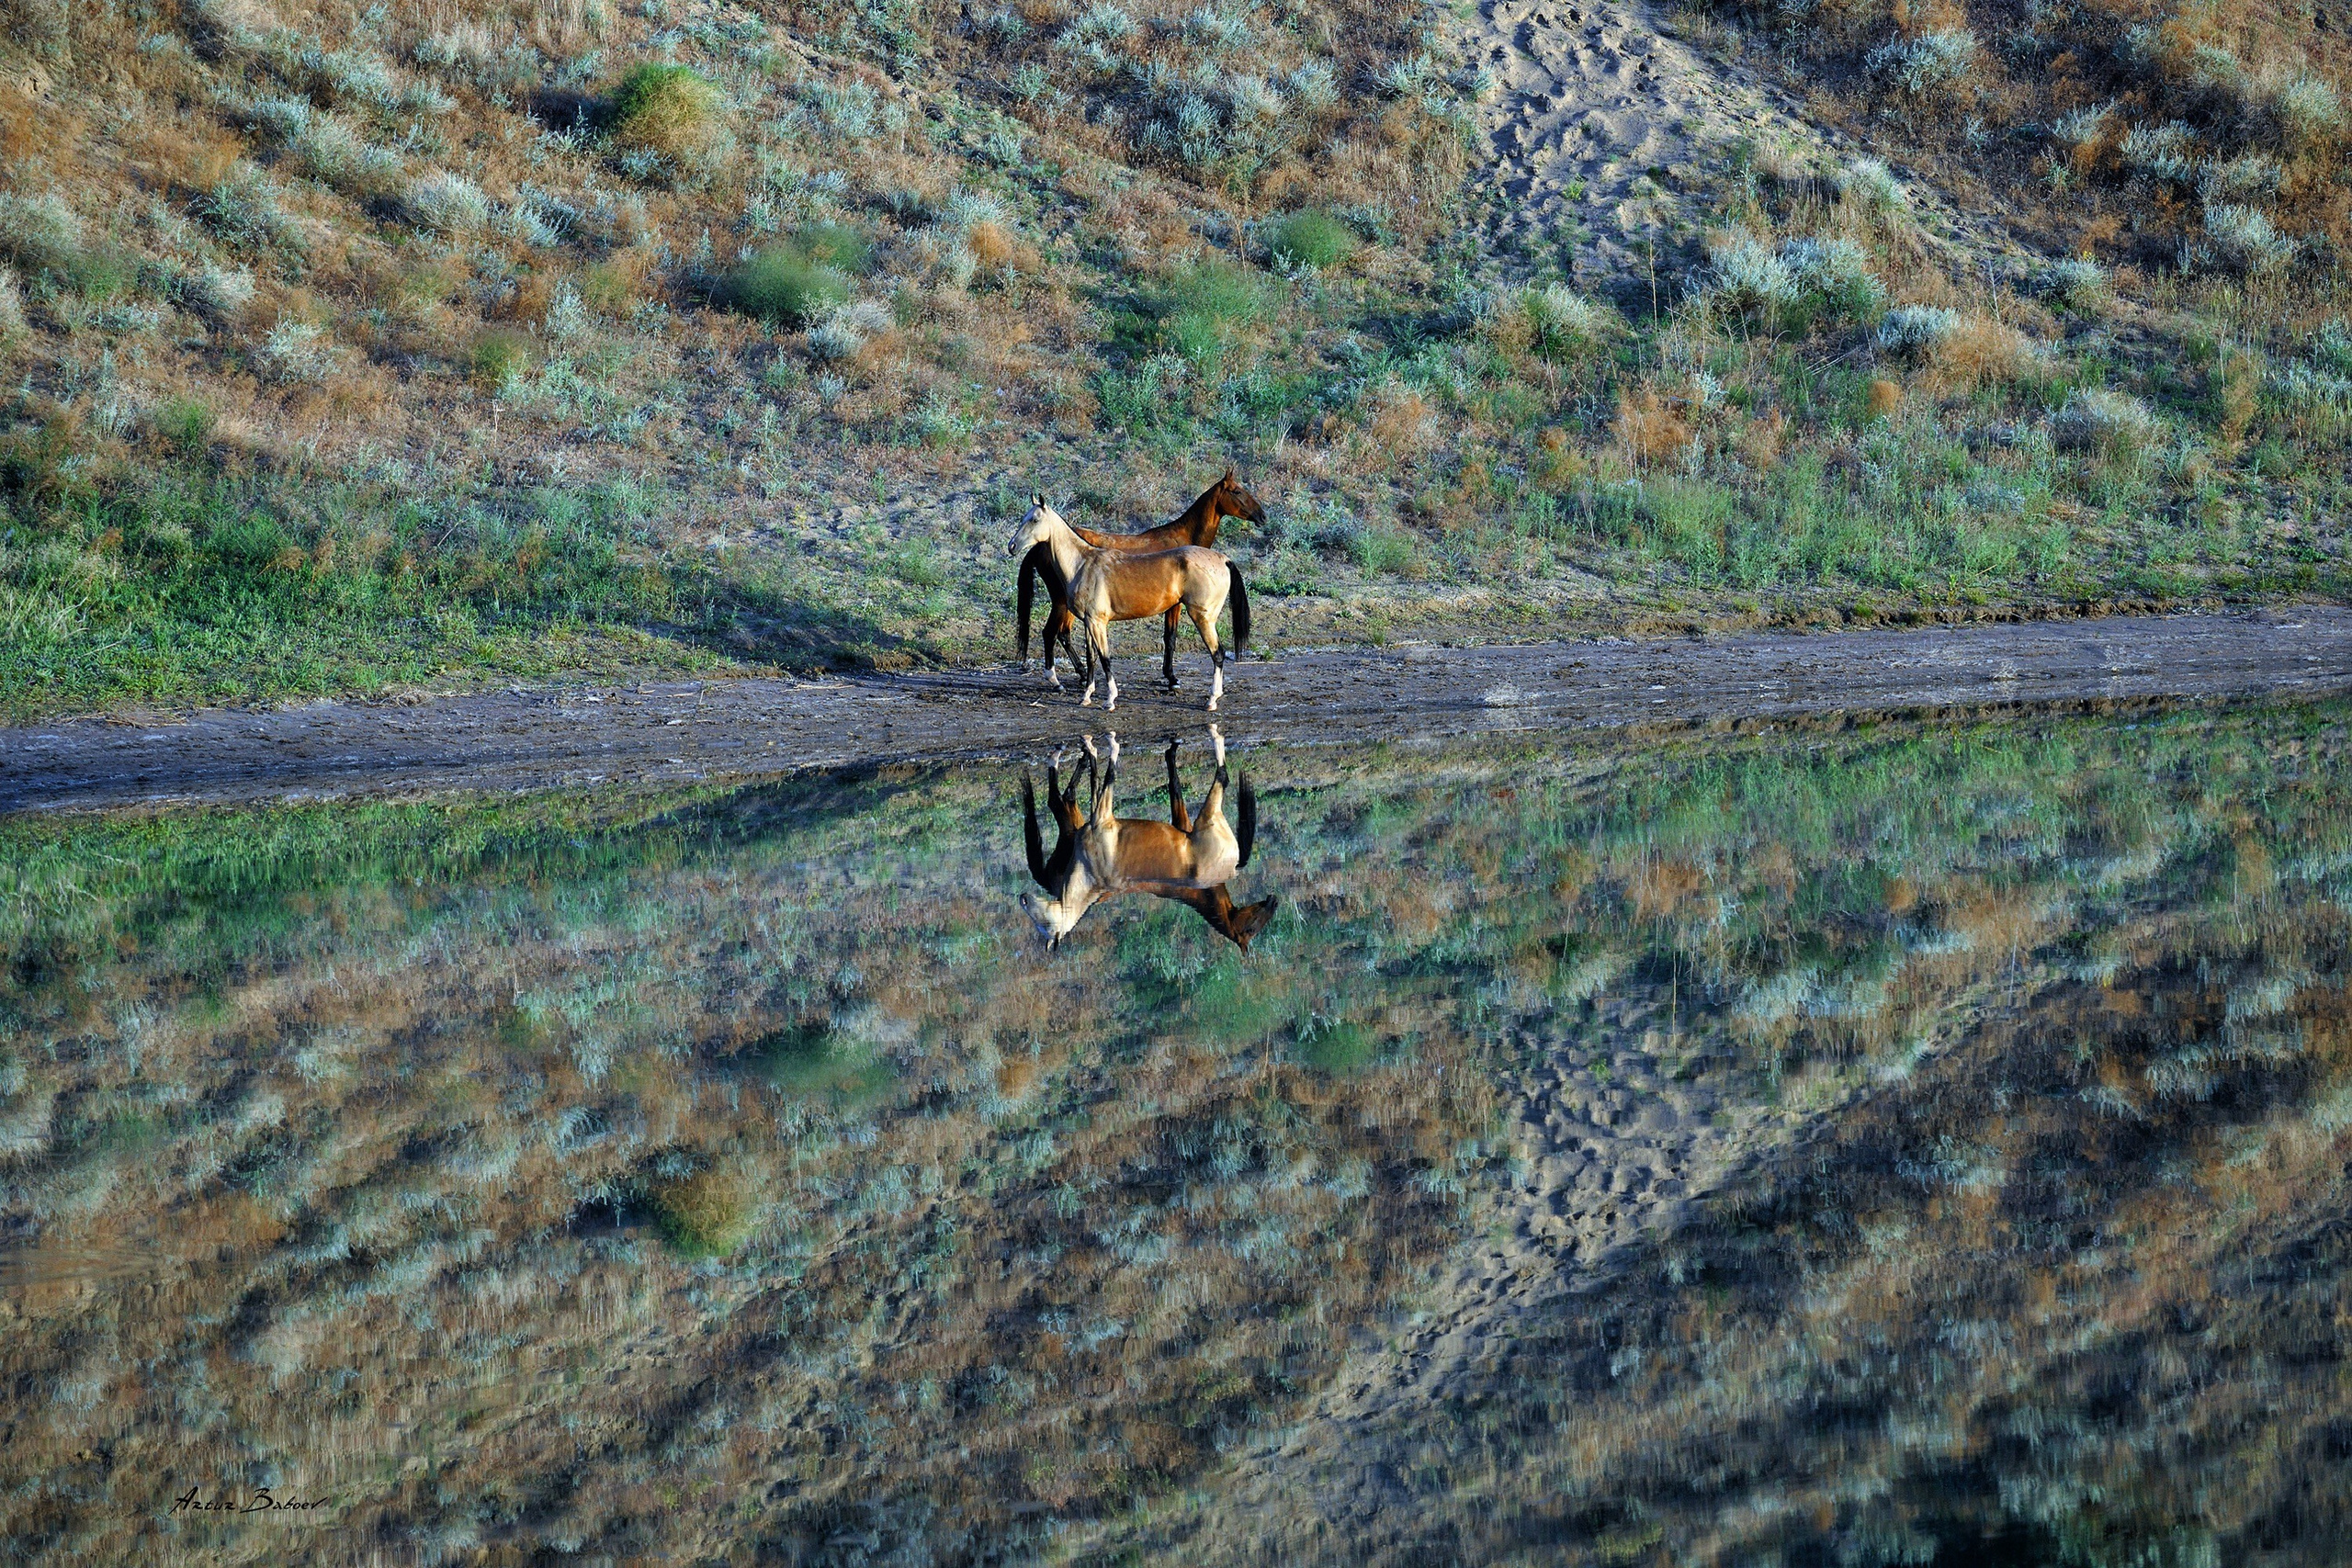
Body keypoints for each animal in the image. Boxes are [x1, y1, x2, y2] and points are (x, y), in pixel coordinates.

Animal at [1016, 467, 1267, 689]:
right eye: (1236, 491)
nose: (1262, 516)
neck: (1182, 538)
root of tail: (1038, 547)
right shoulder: (1175, 606)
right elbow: (1170, 638)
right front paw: (1172, 678)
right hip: (1061, 602)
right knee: (1054, 633)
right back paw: (1065, 679)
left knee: (1061, 634)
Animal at [1021, 729, 1277, 951]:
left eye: (1043, 924)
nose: (1023, 899)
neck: (1090, 875)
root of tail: (1233, 866)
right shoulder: (1097, 817)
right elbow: (1099, 778)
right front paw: (1092, 748)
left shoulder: (1102, 816)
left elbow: (1106, 775)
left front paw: (1101, 745)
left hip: (1209, 814)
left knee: (1223, 776)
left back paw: (1214, 734)